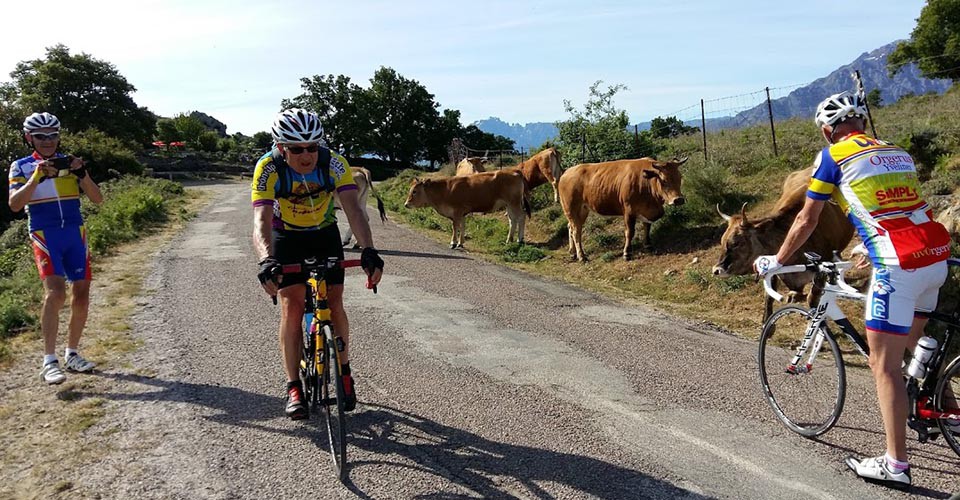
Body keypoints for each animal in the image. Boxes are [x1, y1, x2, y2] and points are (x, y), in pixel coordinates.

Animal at [559, 157, 687, 262]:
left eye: (680, 177)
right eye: (664, 180)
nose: (678, 199)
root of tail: (566, 173)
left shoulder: (647, 211)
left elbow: (647, 228)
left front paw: (648, 245)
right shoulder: (629, 211)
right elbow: (629, 232)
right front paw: (627, 253)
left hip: (583, 210)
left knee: (571, 227)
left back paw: (573, 253)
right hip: (571, 209)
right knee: (576, 231)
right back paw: (582, 256)